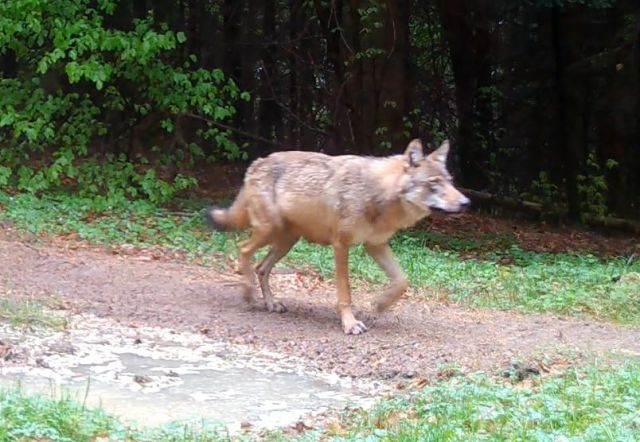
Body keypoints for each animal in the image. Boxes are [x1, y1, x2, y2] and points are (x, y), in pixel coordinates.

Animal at [208, 138, 468, 334]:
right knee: (243, 250)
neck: (378, 194)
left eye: (450, 182)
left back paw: (271, 303)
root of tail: (257, 162)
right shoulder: (341, 245)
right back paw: (247, 293)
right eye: (434, 182)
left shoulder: (375, 245)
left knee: (261, 267)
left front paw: (380, 304)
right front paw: (350, 324)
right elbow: (345, 292)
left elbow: (402, 281)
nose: (466, 202)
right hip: (270, 232)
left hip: (286, 241)